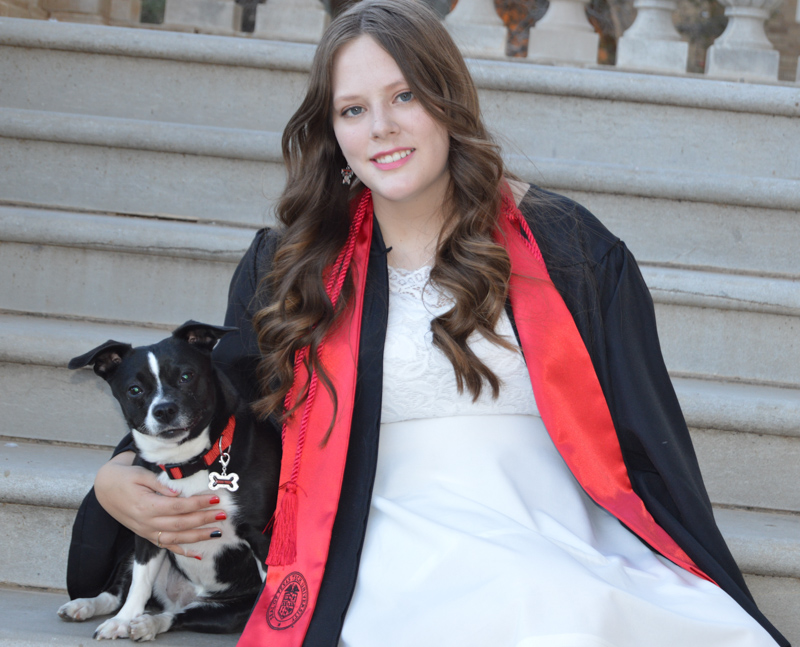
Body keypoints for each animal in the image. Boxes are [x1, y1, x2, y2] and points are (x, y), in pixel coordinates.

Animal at [58, 322, 282, 640]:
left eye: (186, 376)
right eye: (134, 390)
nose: (163, 409)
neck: (189, 461)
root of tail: (182, 596)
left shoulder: (261, 536)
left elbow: (269, 589)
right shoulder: (148, 529)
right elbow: (138, 585)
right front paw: (122, 620)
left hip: (228, 611)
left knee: (179, 616)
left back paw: (149, 622)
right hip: (131, 551)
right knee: (119, 593)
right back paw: (92, 607)